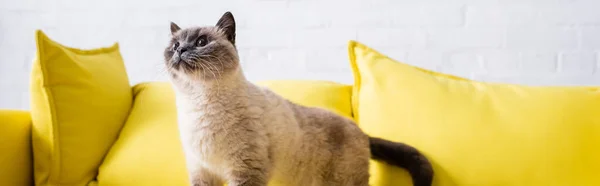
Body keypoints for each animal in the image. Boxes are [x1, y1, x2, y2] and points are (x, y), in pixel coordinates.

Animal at [164, 11, 434, 186]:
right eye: (174, 45)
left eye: (201, 42)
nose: (181, 51)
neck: (198, 102)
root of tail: (359, 129)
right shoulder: (202, 172)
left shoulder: (245, 170)